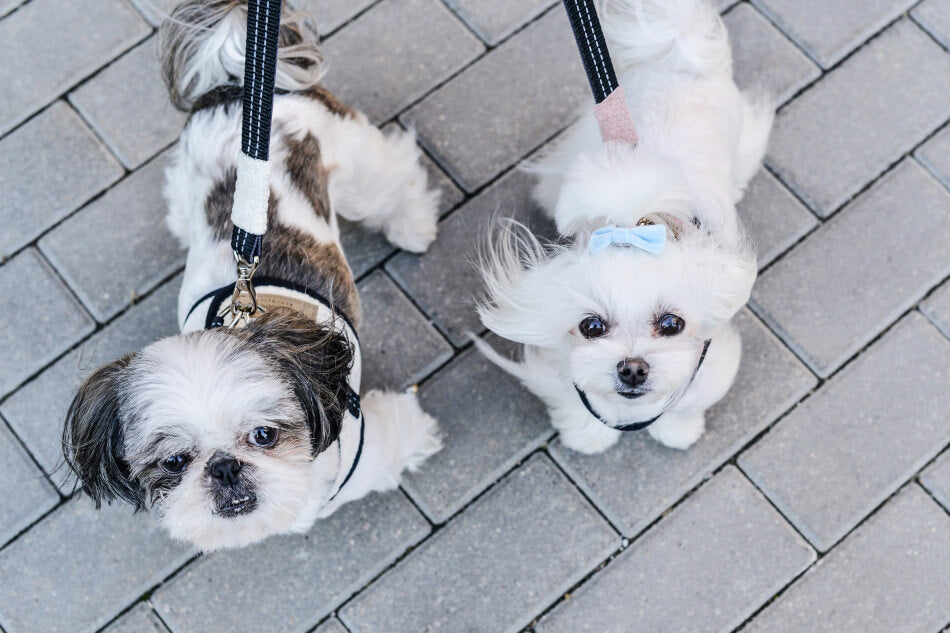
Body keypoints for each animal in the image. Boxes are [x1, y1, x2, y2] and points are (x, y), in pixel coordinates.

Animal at [63, 0, 442, 552]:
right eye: (174, 462)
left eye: (265, 435)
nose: (224, 468)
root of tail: (240, 85)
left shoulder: (368, 447)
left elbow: (401, 438)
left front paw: (424, 436)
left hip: (355, 166)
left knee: (391, 180)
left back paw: (413, 225)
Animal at [480, 0, 768, 454]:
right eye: (592, 327)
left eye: (672, 324)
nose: (633, 368)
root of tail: (677, 59)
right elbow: (575, 397)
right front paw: (588, 435)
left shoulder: (708, 362)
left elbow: (685, 402)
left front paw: (677, 430)